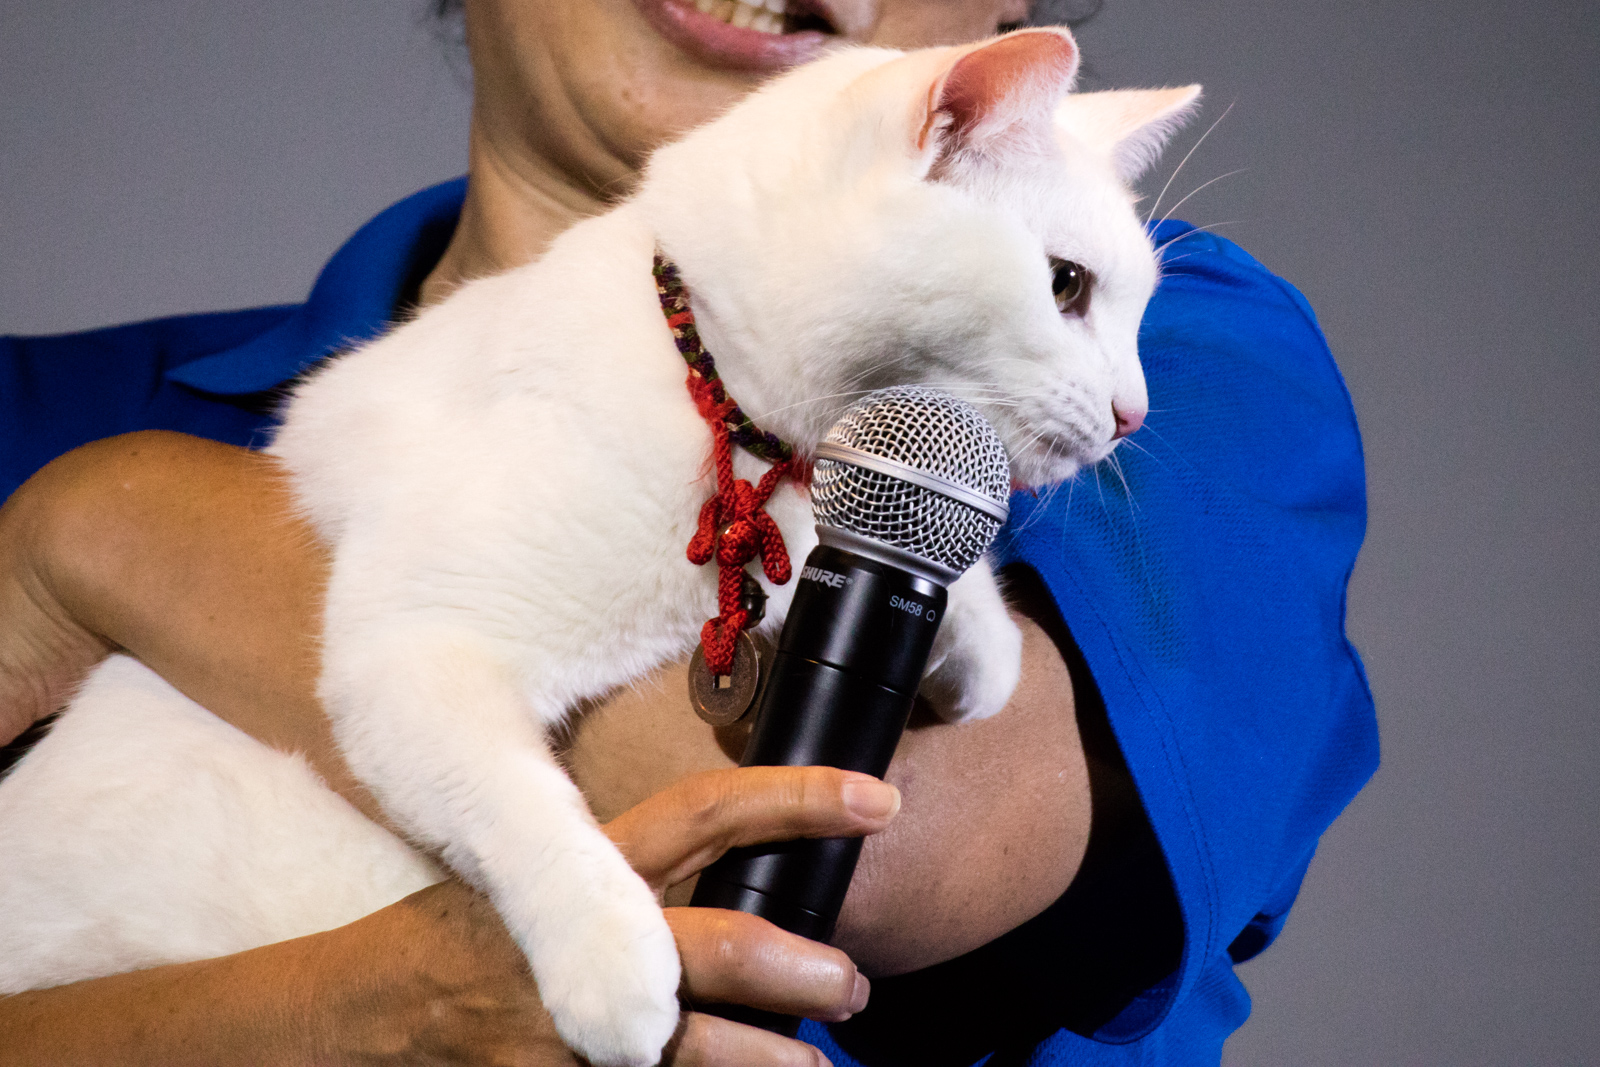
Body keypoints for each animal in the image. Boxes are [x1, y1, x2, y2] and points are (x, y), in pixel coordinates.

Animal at [0, 31, 1190, 1067]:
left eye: (1136, 310)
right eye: (1068, 286)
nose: (1134, 413)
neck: (736, 429)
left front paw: (977, 638)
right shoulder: (412, 648)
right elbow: (519, 807)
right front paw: (615, 962)